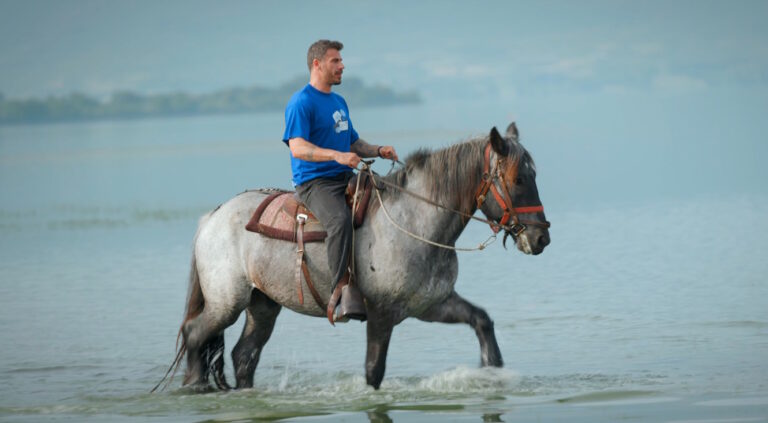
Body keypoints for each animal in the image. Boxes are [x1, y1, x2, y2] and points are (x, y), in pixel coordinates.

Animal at [156, 121, 548, 392]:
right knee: (194, 334)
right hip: (227, 303)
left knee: (243, 356)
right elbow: (373, 373)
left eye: (533, 175)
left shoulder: (430, 305)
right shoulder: (382, 314)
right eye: (516, 179)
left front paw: (493, 368)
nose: (541, 237)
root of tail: (212, 218)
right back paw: (195, 385)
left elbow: (482, 320)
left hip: (263, 304)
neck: (415, 221)